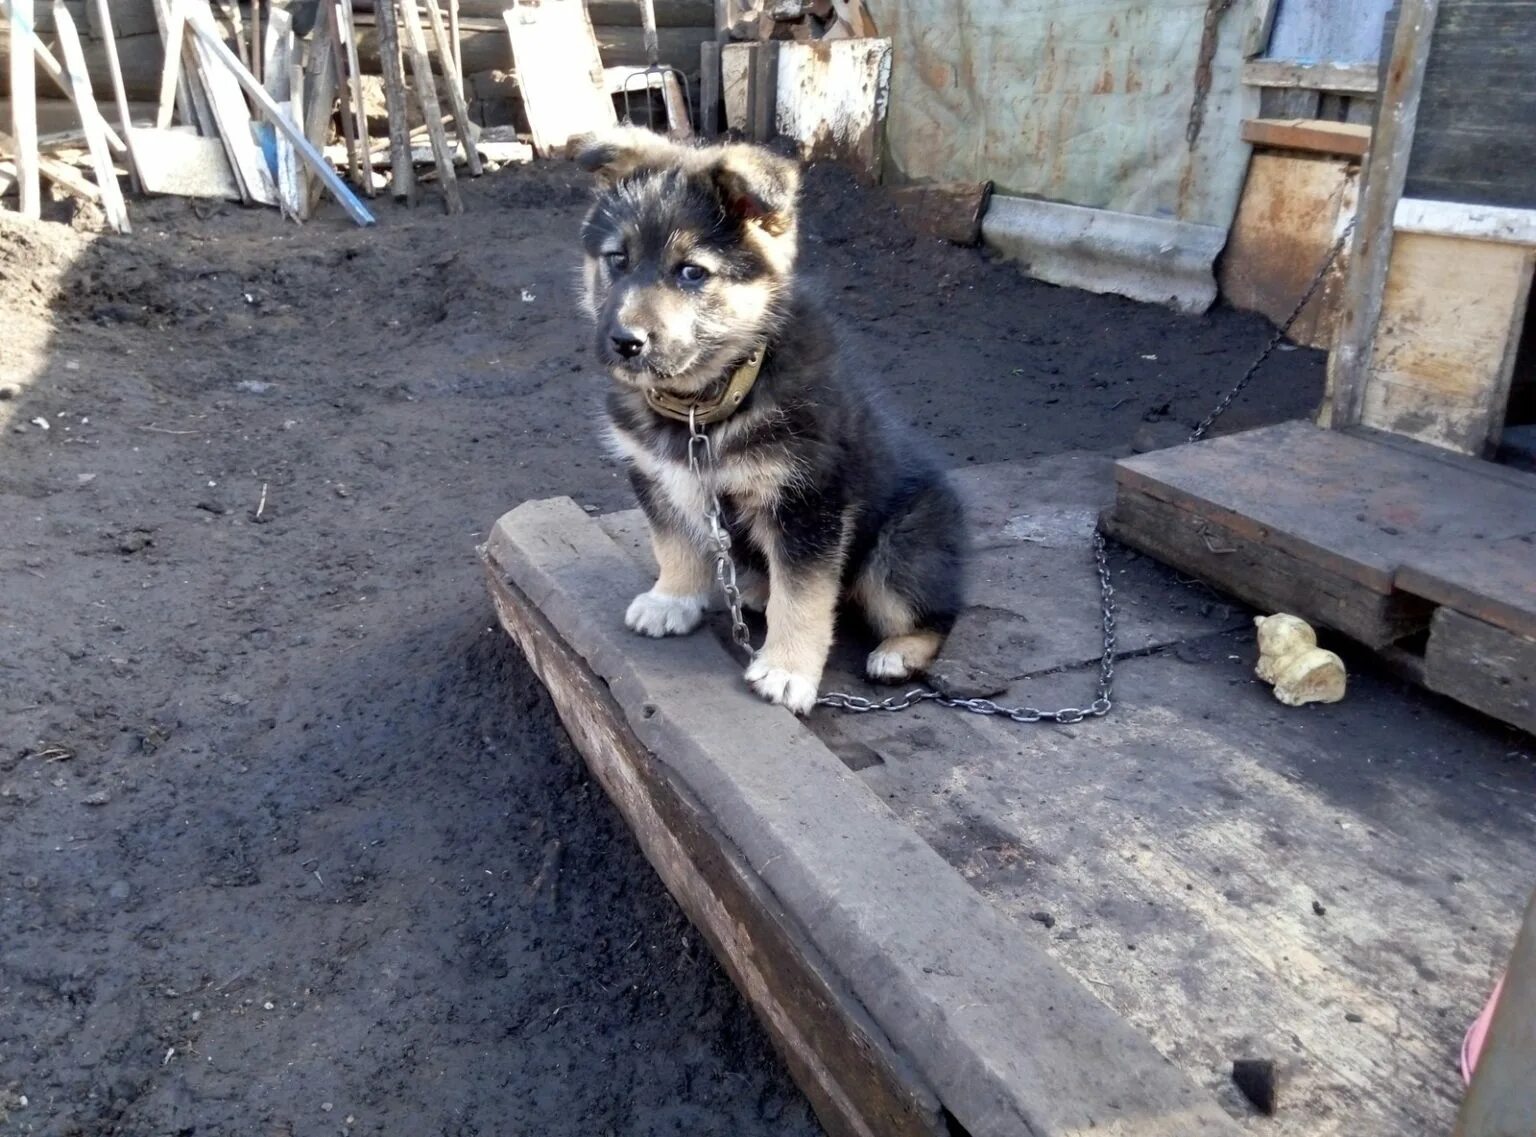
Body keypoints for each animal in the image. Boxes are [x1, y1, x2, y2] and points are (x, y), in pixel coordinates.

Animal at [577, 129, 958, 716]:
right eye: (617, 260)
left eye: (692, 272)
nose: (625, 342)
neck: (706, 405)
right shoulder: (658, 477)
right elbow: (673, 541)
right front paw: (673, 598)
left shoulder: (808, 504)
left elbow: (802, 598)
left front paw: (785, 669)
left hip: (900, 552)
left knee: (936, 614)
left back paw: (899, 651)